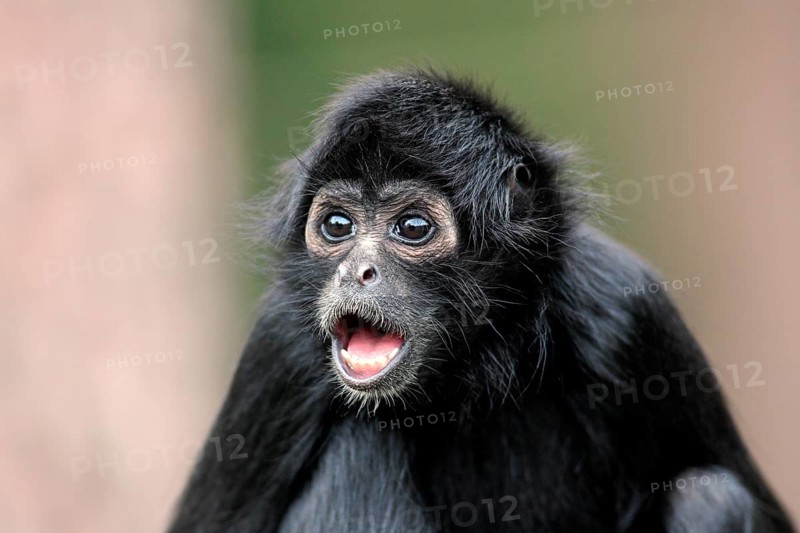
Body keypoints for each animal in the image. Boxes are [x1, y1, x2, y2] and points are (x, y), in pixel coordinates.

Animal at [168, 69, 794, 532]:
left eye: (413, 227)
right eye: (338, 226)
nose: (355, 272)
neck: (469, 380)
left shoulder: (626, 312)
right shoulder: (281, 350)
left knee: (711, 497)